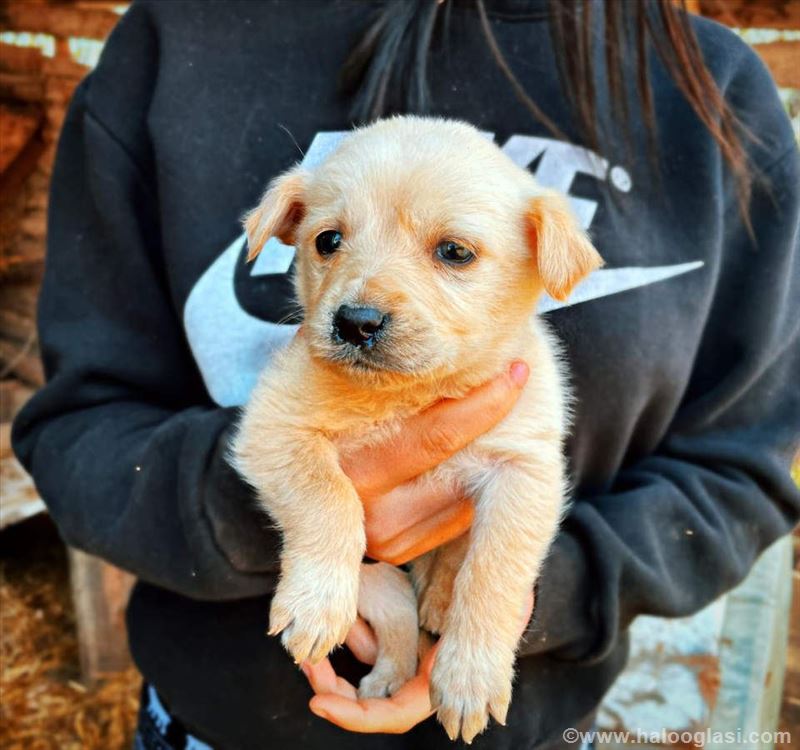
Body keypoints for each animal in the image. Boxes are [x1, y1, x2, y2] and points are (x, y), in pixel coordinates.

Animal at [234, 114, 604, 744]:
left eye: (454, 252)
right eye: (327, 241)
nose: (355, 322)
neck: (411, 393)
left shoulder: (525, 470)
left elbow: (494, 571)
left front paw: (471, 675)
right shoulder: (273, 426)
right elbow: (326, 497)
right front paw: (314, 603)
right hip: (376, 579)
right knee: (397, 614)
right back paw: (388, 675)